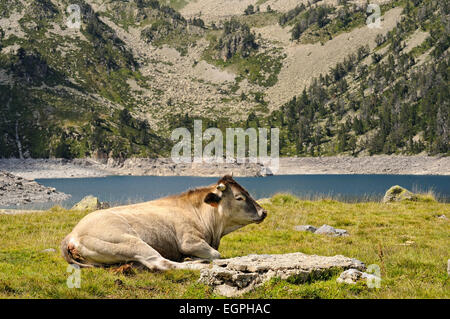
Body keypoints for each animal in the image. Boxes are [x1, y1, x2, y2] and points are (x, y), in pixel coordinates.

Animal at [60, 176, 268, 272]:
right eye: (240, 197)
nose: (263, 212)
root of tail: (72, 234)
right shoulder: (190, 241)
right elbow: (216, 254)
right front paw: (194, 258)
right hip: (129, 242)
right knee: (160, 263)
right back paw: (195, 263)